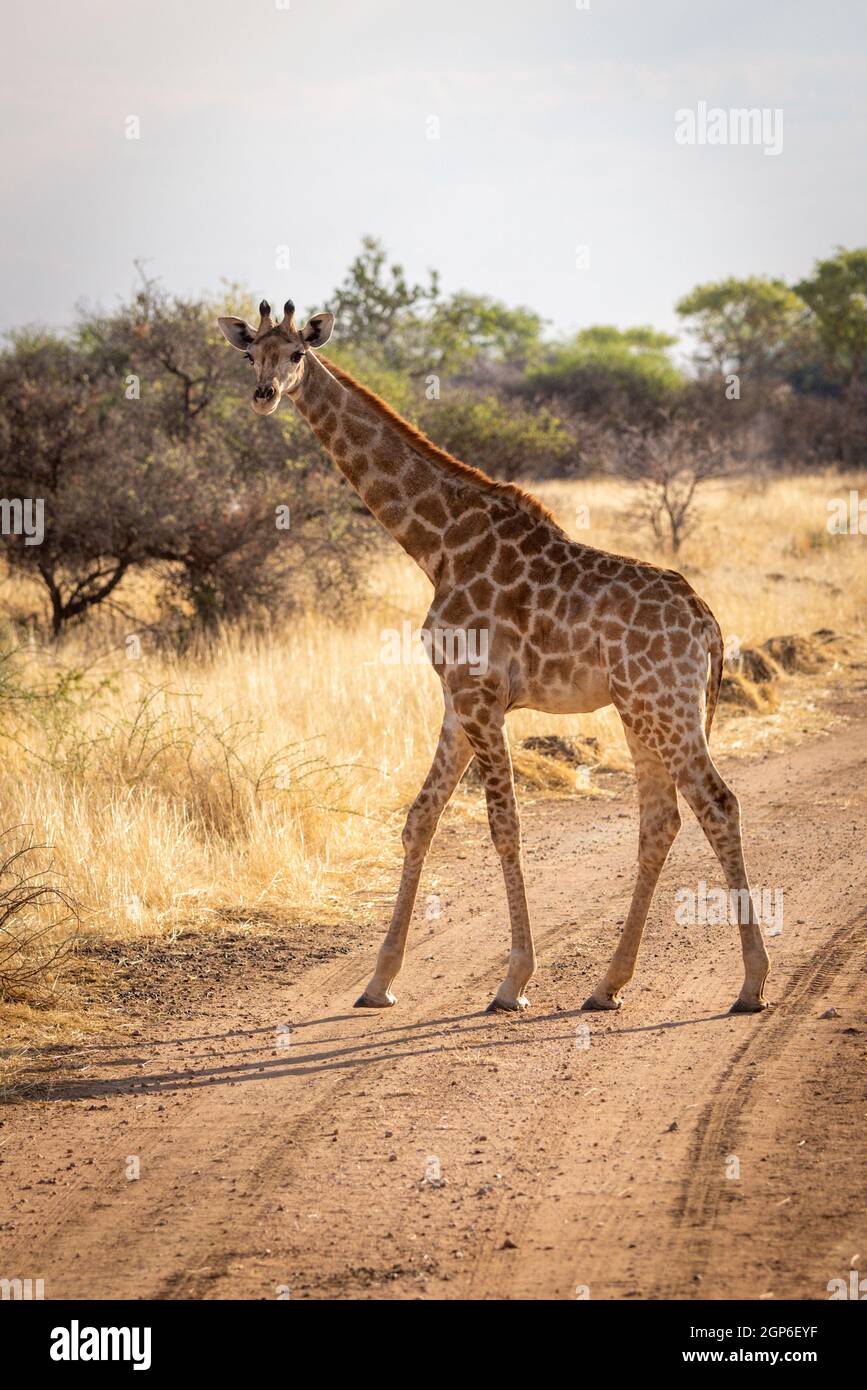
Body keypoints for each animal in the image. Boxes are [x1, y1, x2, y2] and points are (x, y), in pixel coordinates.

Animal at [218, 298, 772, 1017]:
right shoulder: (458, 700)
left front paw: (513, 982)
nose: (264, 395)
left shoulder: (482, 697)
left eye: (296, 354)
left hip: (665, 706)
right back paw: (606, 986)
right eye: (249, 353)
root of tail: (707, 623)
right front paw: (379, 981)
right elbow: (419, 819)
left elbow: (502, 825)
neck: (436, 543)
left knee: (717, 804)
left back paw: (751, 984)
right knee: (660, 819)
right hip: (639, 710)